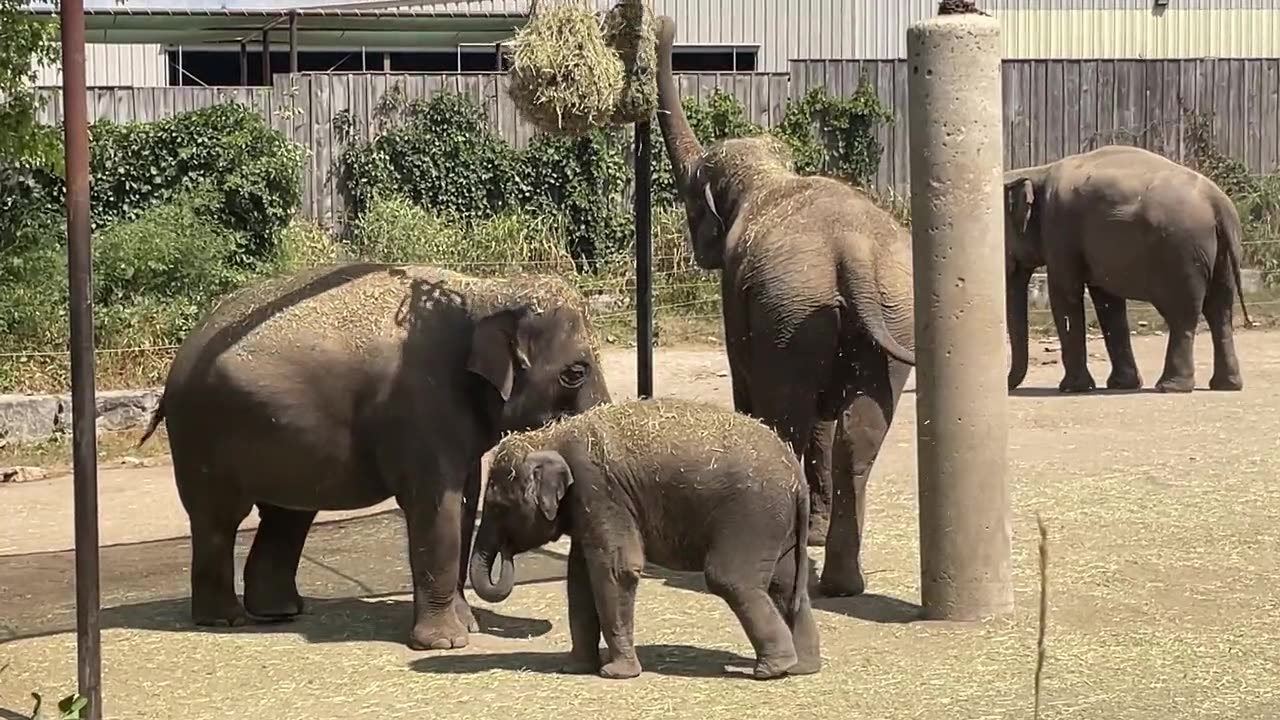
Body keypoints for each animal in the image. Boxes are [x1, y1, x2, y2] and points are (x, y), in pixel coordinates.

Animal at [135, 260, 609, 648]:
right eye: (575, 372)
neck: (485, 291)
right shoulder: (419, 405)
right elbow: (436, 507)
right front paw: (448, 643)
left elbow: (463, 501)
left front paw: (467, 627)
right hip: (202, 431)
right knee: (220, 518)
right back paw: (226, 621)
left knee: (287, 516)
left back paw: (280, 613)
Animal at [471, 394, 819, 676]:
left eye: (499, 506)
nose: (507, 552)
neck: (552, 435)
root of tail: (796, 475)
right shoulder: (590, 504)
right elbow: (579, 579)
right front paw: (575, 668)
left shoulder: (599, 489)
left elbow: (617, 569)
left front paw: (616, 673)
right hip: (778, 525)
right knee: (787, 585)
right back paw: (802, 667)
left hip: (753, 516)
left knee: (730, 578)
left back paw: (772, 669)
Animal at [655, 14, 916, 594]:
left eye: (691, 196)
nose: (662, 21)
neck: (769, 175)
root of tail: (851, 252)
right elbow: (826, 424)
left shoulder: (738, 297)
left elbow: (749, 391)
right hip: (879, 315)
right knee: (858, 437)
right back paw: (841, 582)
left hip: (790, 310)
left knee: (786, 419)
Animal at [998, 144, 1249, 392]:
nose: (1008, 386)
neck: (1038, 172)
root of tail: (1217, 203)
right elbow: (1107, 301)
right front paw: (1122, 384)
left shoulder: (1059, 229)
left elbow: (1064, 294)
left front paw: (1072, 388)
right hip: (1222, 254)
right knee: (1220, 311)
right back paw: (1226, 385)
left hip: (1183, 252)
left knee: (1183, 315)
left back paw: (1170, 387)